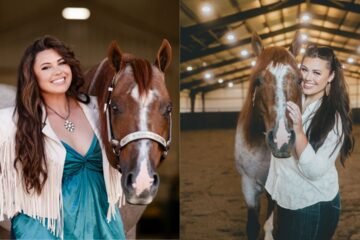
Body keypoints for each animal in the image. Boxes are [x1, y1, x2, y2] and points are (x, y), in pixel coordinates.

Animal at [235, 32, 302, 240]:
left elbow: (269, 224)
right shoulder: (247, 183)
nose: (281, 140)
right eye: (258, 80)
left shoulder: (276, 189)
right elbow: (252, 225)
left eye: (300, 80)